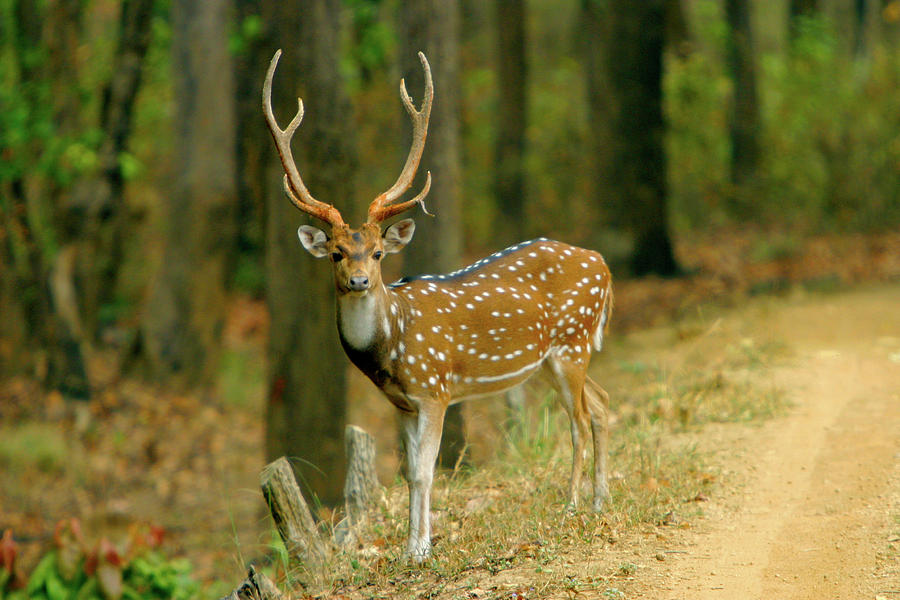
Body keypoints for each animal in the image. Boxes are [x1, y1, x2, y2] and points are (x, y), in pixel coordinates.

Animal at [260, 49, 612, 560]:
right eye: (337, 253)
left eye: (379, 253)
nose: (360, 281)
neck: (392, 345)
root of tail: (602, 263)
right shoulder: (401, 404)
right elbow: (409, 474)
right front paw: (413, 546)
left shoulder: (435, 389)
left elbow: (427, 472)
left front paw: (421, 550)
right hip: (551, 358)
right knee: (602, 405)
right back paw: (602, 501)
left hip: (573, 342)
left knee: (580, 420)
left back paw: (571, 506)